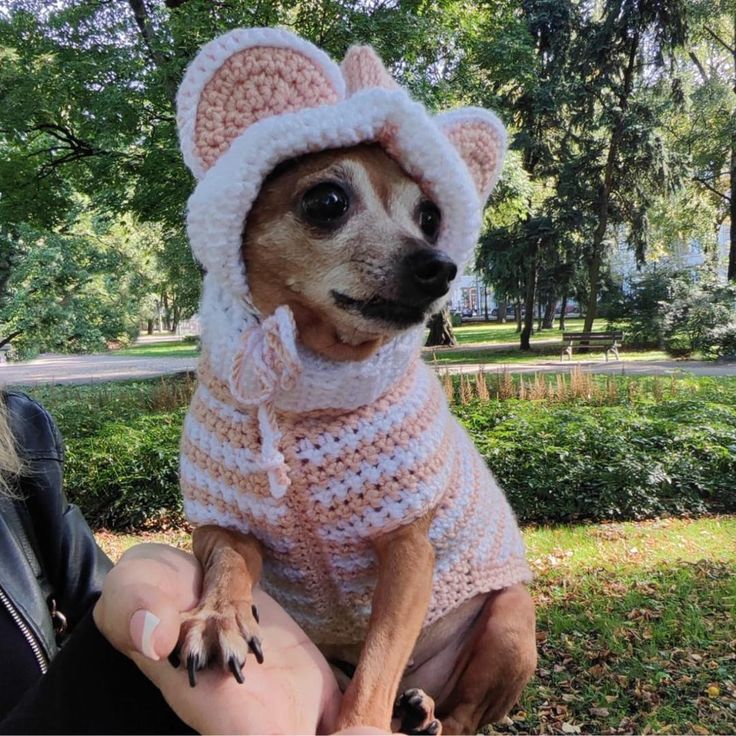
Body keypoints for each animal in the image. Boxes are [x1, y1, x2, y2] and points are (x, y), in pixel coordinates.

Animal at [175, 25, 536, 732]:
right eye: (326, 200)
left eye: (430, 215)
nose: (441, 266)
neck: (302, 390)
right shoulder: (222, 520)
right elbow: (227, 559)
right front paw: (217, 617)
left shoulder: (408, 549)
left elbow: (376, 663)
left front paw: (358, 722)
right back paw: (416, 706)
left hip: (512, 620)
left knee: (462, 713)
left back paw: (426, 712)